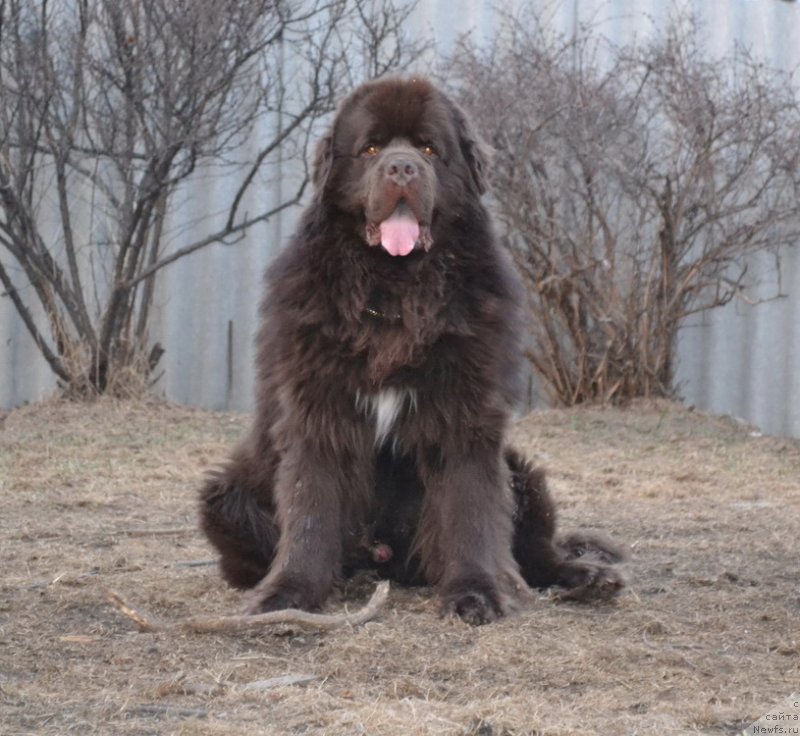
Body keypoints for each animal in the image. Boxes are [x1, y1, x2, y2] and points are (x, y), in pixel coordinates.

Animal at [198, 77, 624, 624]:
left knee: (534, 552)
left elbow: (470, 511)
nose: (401, 168)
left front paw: (476, 593)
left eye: (427, 149)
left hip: (518, 472)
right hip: (225, 494)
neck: (394, 293)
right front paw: (287, 596)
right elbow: (310, 510)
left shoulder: (466, 418)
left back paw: (587, 578)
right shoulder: (318, 414)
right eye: (371, 149)